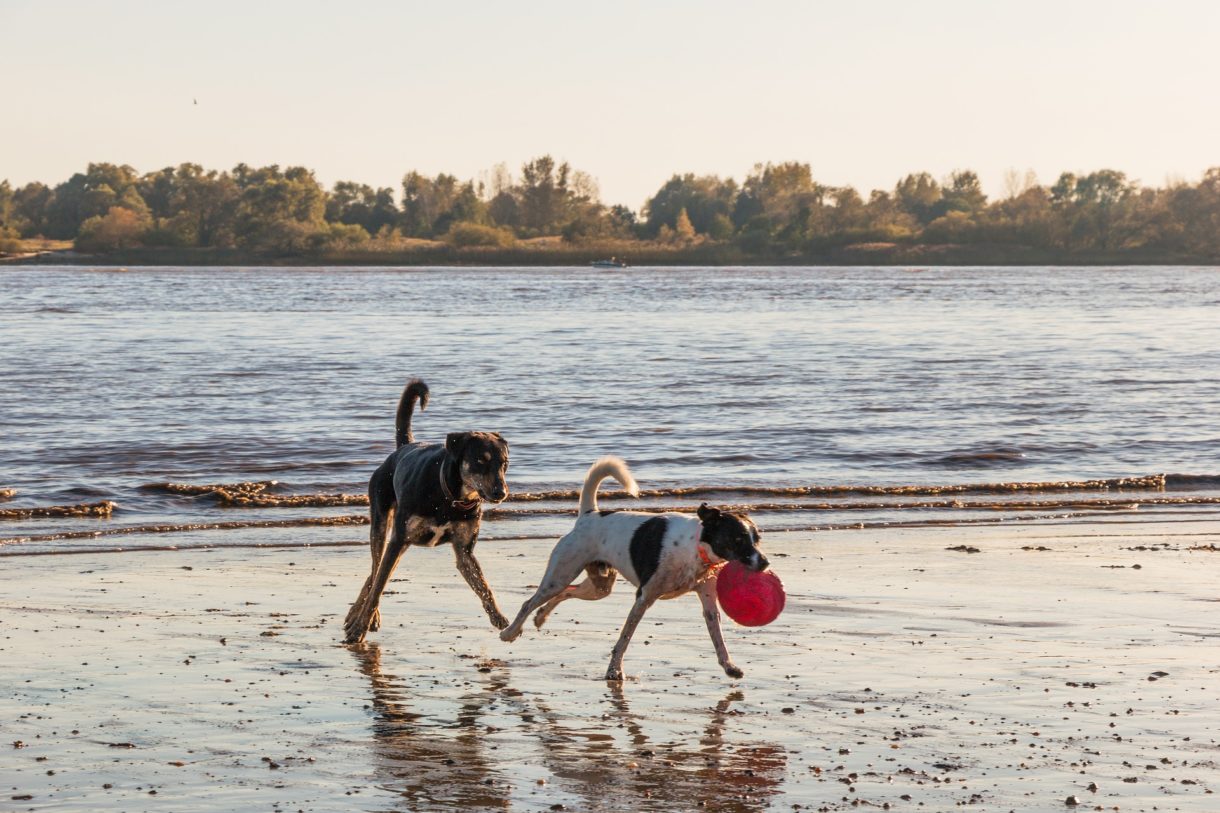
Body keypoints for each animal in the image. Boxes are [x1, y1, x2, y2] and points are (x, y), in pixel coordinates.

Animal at [344, 375, 509, 644]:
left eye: (504, 463)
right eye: (480, 461)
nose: (501, 493)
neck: (451, 498)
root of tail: (402, 449)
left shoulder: (464, 551)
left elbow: (484, 586)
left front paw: (498, 616)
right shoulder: (399, 539)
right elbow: (378, 586)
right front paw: (360, 627)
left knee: (375, 572)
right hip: (382, 523)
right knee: (376, 567)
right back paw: (363, 617)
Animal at [497, 456, 766, 678]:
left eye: (757, 539)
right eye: (738, 539)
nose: (765, 563)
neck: (696, 546)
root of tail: (590, 515)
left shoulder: (708, 601)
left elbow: (718, 638)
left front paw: (729, 666)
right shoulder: (643, 598)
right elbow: (624, 638)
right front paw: (614, 670)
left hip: (599, 586)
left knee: (566, 592)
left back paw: (542, 616)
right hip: (560, 575)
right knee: (530, 602)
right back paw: (510, 632)